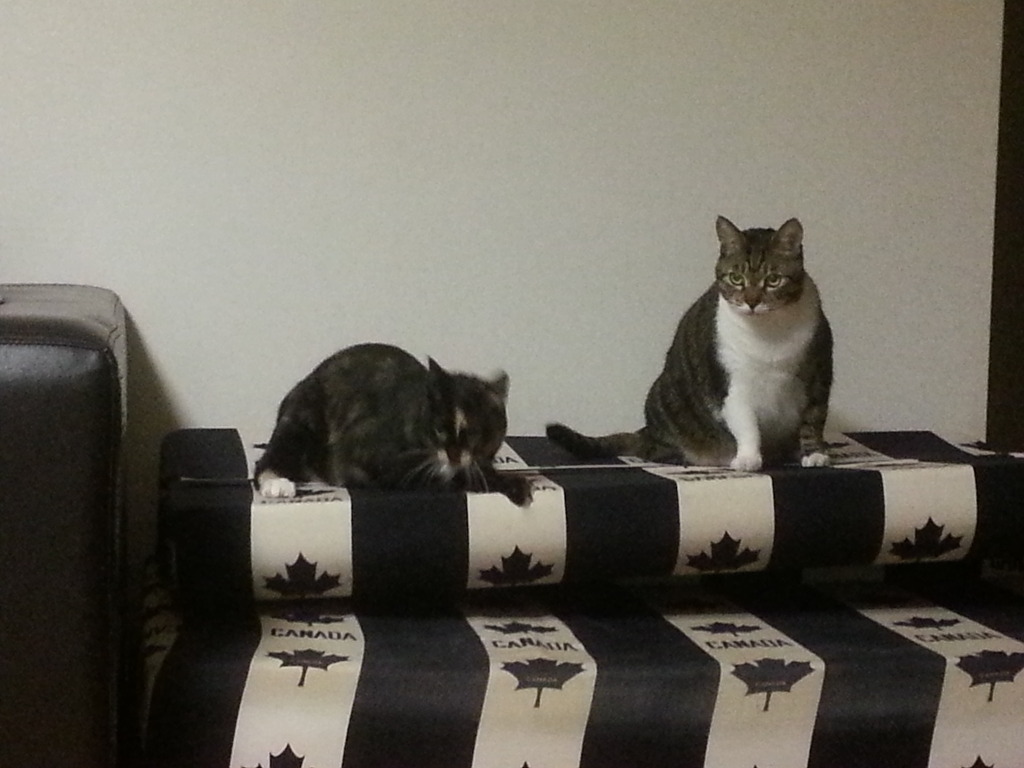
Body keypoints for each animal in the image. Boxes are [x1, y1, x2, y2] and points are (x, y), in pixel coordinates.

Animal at [255, 342, 532, 505]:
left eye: (475, 434)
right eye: (439, 429)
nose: (453, 455)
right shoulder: (362, 454)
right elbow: (437, 477)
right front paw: (508, 484)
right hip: (301, 419)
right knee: (266, 461)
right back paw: (277, 484)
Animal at [547, 216, 833, 471]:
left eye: (773, 280)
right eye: (736, 279)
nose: (751, 302)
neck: (769, 334)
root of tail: (646, 431)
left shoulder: (819, 372)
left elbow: (813, 418)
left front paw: (814, 453)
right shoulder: (730, 383)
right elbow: (746, 423)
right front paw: (748, 458)